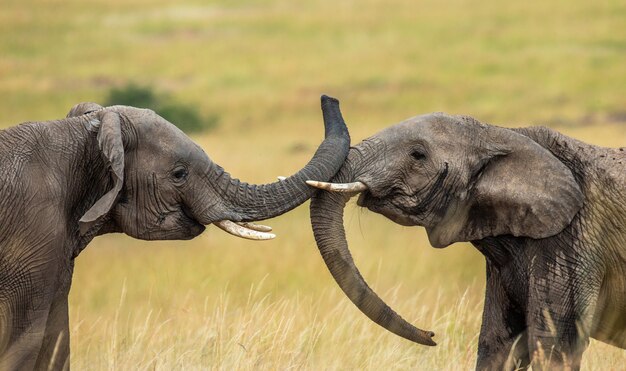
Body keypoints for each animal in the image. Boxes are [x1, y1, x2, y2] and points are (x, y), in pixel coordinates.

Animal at [0, 96, 352, 371]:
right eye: (179, 174)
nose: (329, 98)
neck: (82, 137)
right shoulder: (32, 229)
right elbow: (25, 338)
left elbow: (55, 340)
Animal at [308, 111, 624, 371]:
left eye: (417, 155)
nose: (431, 335)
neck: (500, 133)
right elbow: (497, 342)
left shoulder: (575, 239)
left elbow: (554, 345)